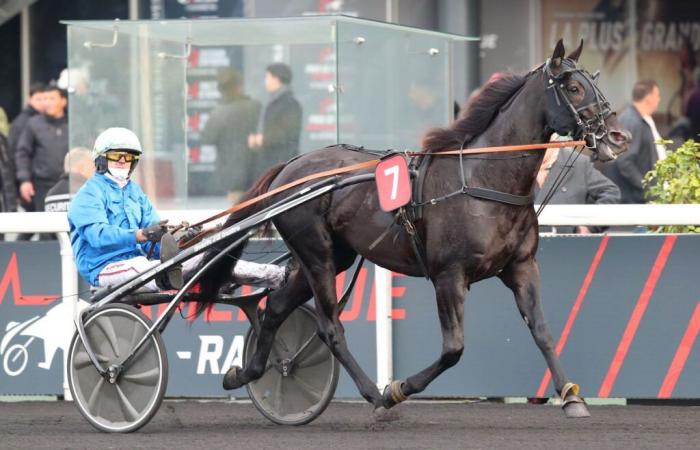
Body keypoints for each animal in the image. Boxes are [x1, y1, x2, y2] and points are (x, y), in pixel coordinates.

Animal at [201, 40, 628, 416]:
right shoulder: (449, 276)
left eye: (593, 82)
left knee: (275, 308)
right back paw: (375, 397)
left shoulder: (521, 266)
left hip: (333, 256)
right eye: (573, 87)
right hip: (315, 253)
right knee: (329, 326)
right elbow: (453, 349)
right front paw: (398, 389)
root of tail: (290, 166)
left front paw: (571, 397)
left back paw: (251, 372)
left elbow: (541, 330)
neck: (483, 177)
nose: (618, 136)